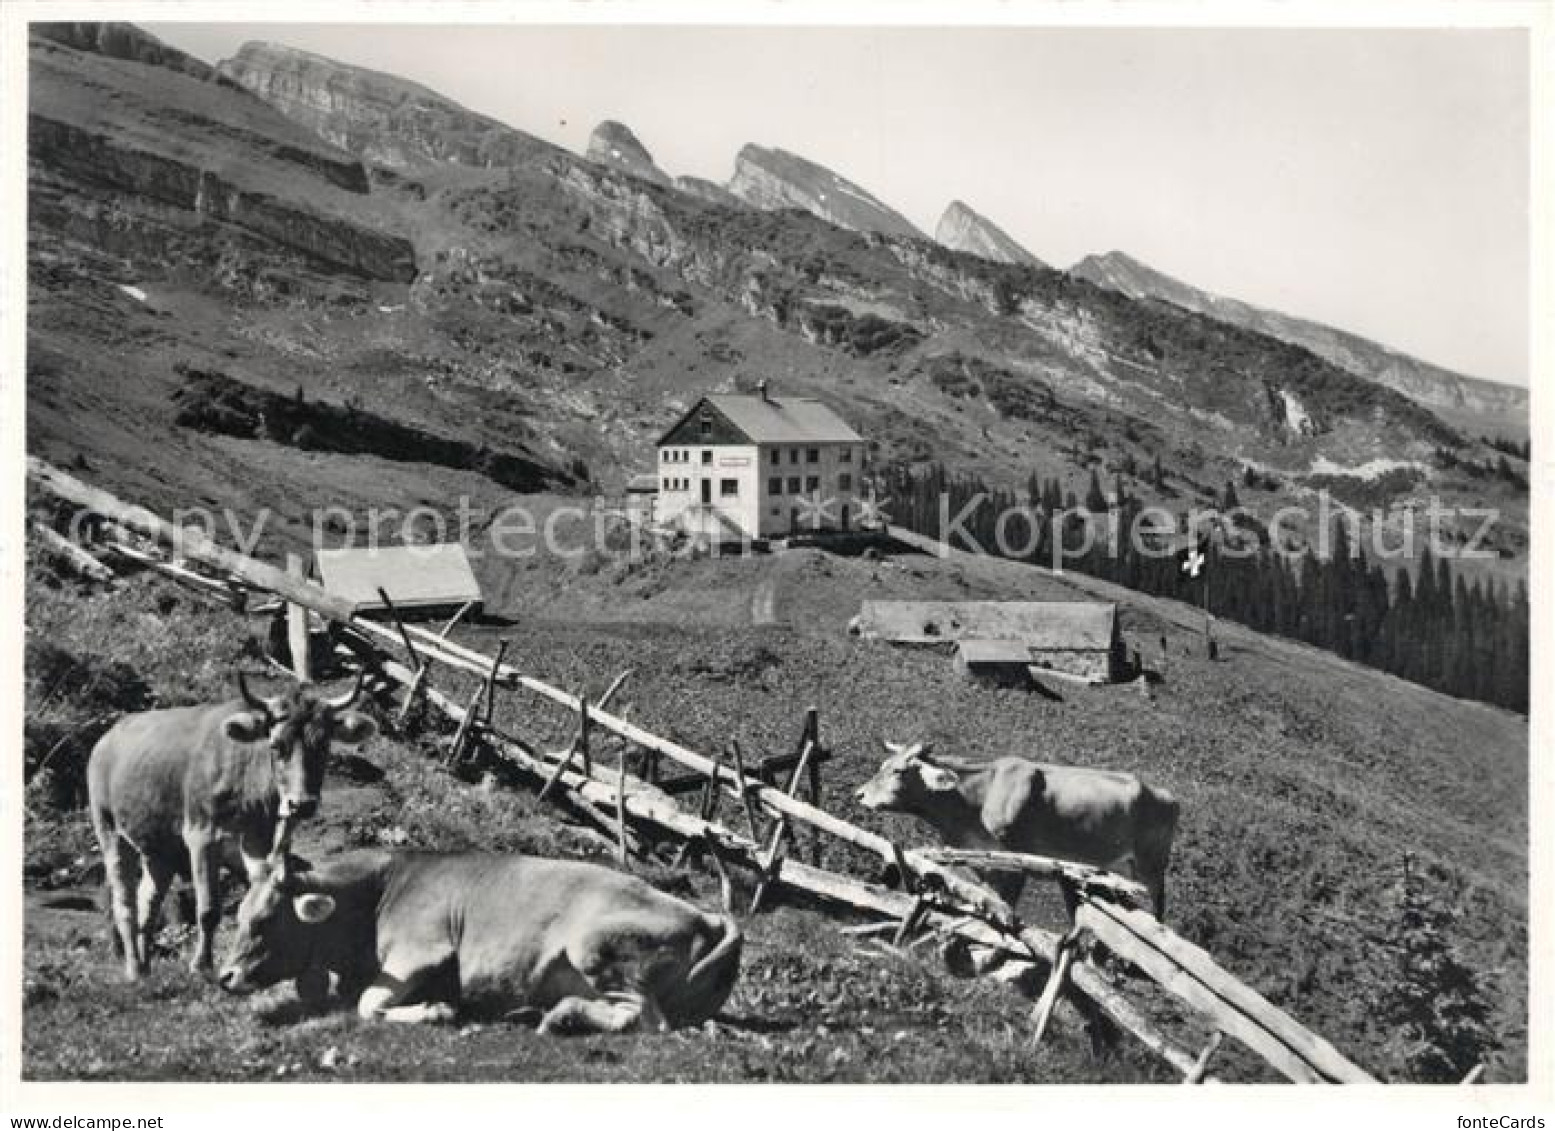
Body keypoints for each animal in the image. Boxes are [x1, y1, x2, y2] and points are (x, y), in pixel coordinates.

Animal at [88, 672, 376, 983]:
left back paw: (144, 968)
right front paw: (201, 965)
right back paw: (132, 968)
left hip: (159, 848)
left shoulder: (257, 837)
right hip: (109, 829)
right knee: (124, 903)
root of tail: (106, 738)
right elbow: (208, 909)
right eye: (276, 745)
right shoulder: (201, 835)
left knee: (147, 904)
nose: (301, 804)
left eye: (323, 746)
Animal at [216, 846, 743, 1032]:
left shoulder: (421, 951)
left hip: (595, 948)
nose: (224, 976)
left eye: (264, 920)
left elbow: (367, 1005)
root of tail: (706, 915)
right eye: (238, 914)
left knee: (646, 1020)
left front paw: (436, 1010)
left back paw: (561, 1017)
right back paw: (533, 1011)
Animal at [852, 743, 1175, 920]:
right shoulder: (980, 856)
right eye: (883, 765)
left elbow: (1005, 901)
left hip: (1150, 866)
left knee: (1156, 907)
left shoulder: (1018, 856)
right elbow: (987, 894)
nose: (859, 794)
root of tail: (1164, 794)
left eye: (899, 771)